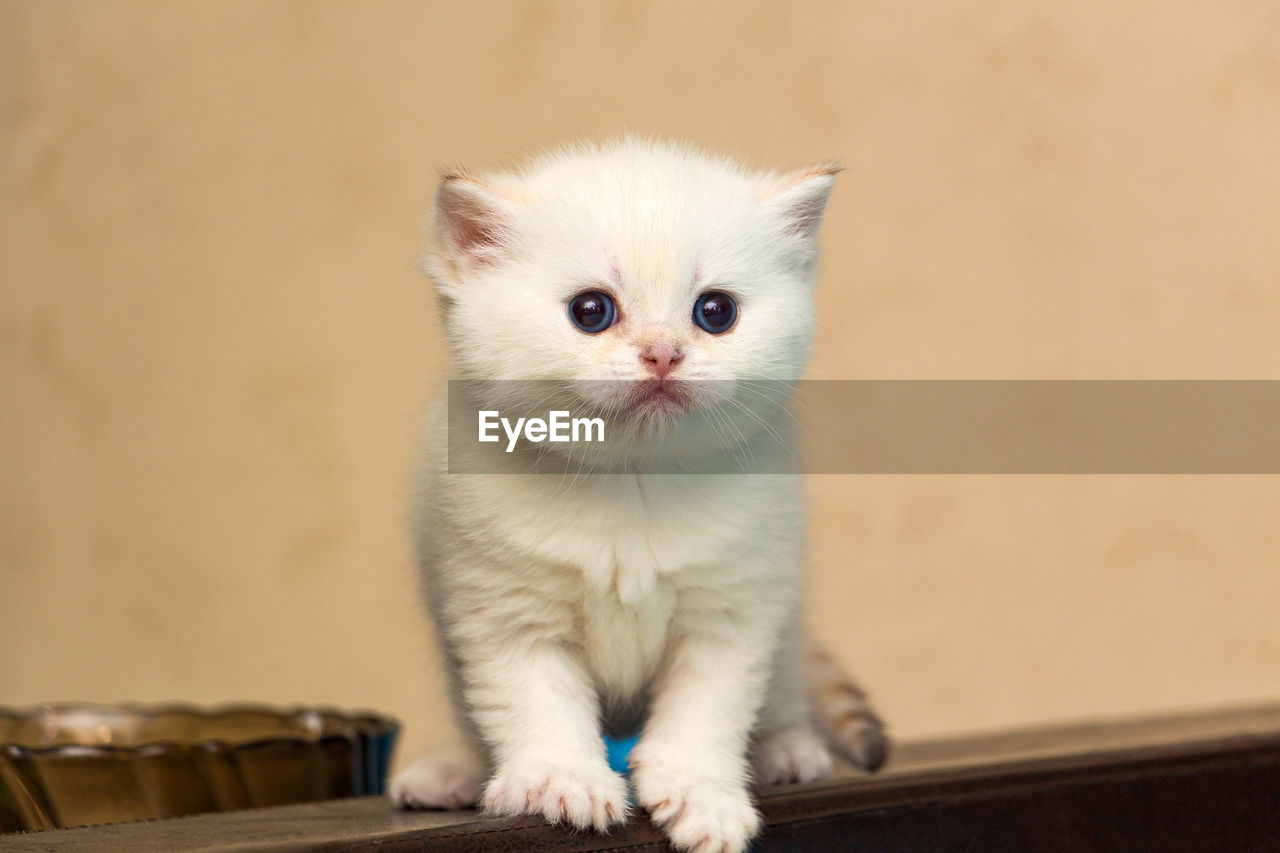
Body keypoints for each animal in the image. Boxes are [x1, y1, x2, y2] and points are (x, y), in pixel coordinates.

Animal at [389, 137, 885, 850]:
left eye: (716, 312)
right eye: (591, 311)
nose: (663, 353)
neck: (632, 481)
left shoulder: (731, 607)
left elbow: (708, 710)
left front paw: (702, 793)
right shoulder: (505, 609)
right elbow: (534, 702)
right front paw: (559, 781)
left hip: (788, 621)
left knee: (784, 688)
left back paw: (786, 749)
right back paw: (453, 773)